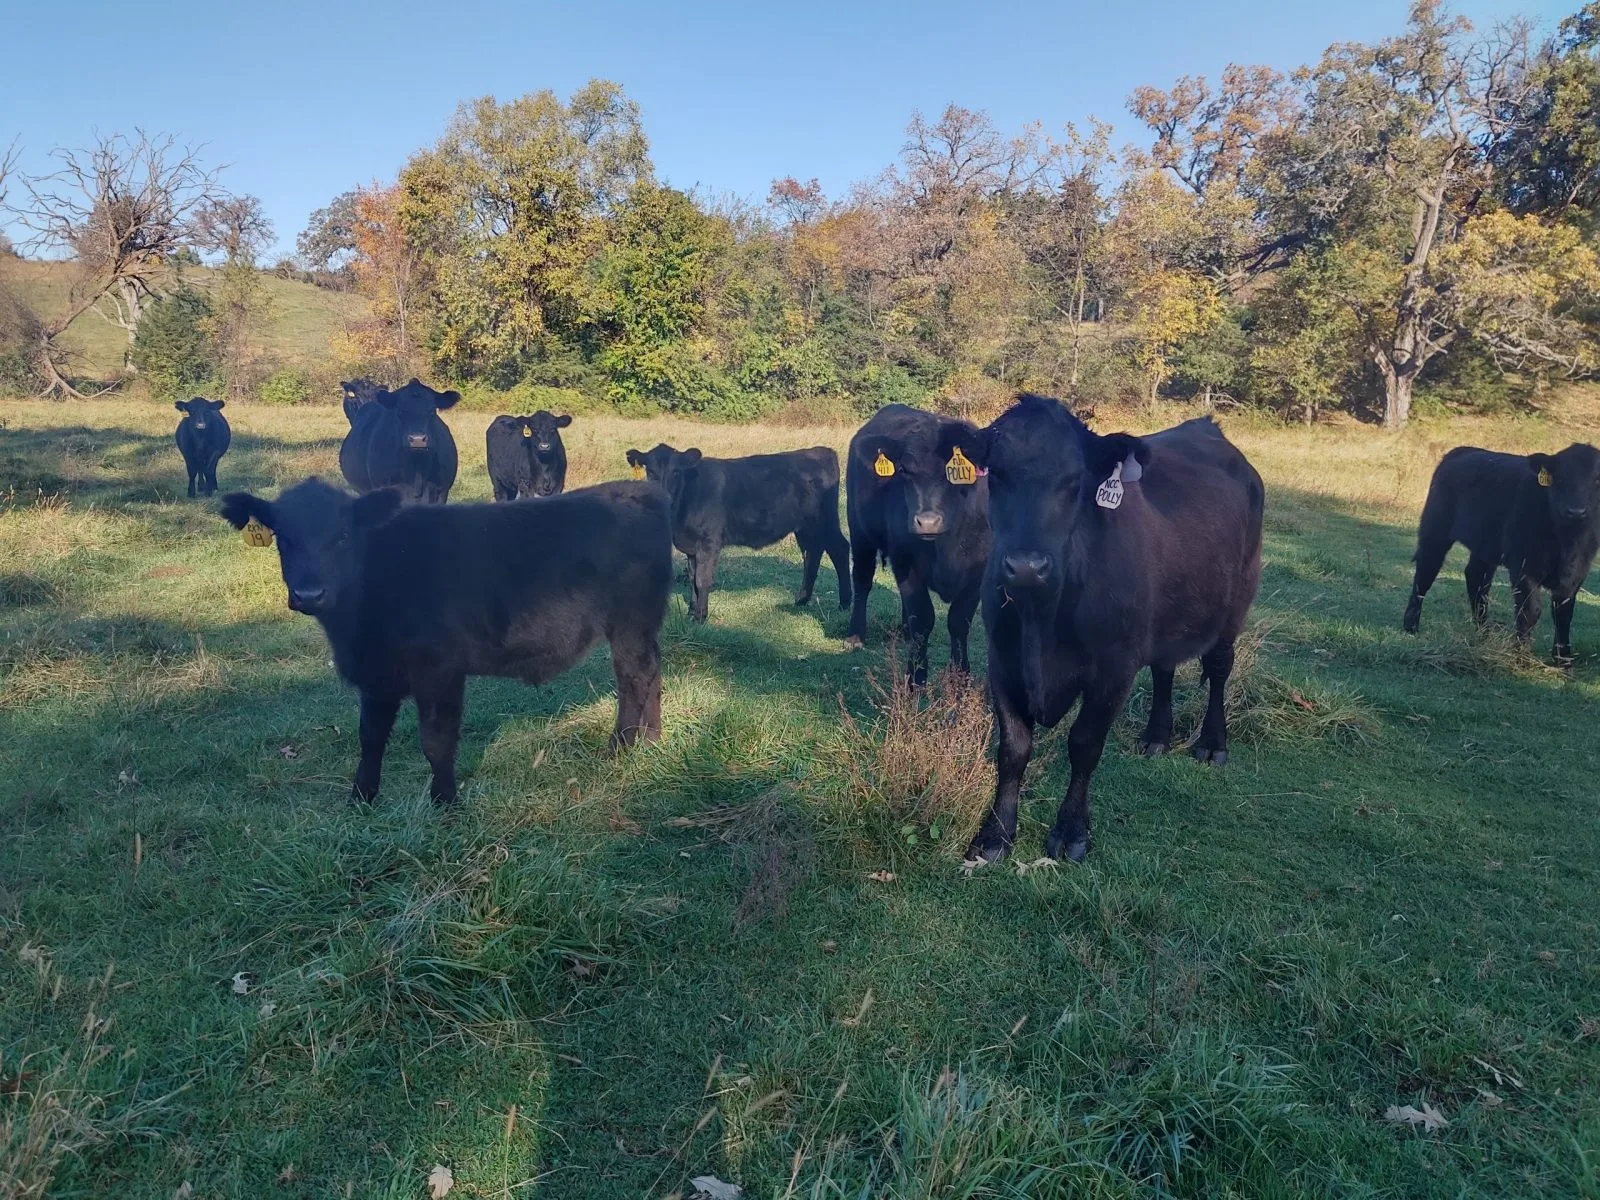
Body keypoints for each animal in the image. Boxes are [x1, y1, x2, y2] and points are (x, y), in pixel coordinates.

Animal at [218, 478, 672, 807]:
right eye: (283, 537)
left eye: (344, 536)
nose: (309, 594)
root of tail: (639, 490)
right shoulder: (376, 675)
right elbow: (370, 736)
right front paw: (361, 799)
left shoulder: (439, 670)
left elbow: (436, 741)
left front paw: (444, 803)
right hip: (644, 626)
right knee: (652, 672)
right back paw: (651, 740)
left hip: (629, 622)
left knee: (633, 677)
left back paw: (619, 748)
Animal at [624, 443, 851, 622]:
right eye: (650, 471)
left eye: (676, 472)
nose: (663, 496)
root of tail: (821, 450)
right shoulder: (691, 546)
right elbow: (692, 578)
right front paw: (691, 612)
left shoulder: (709, 541)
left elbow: (702, 579)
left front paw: (700, 617)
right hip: (805, 526)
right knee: (812, 553)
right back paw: (801, 600)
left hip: (825, 520)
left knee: (839, 548)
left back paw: (844, 603)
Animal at [844, 404, 990, 684]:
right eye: (904, 471)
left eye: (951, 472)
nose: (927, 522)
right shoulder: (905, 560)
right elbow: (922, 619)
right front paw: (915, 677)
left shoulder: (979, 570)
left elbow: (959, 621)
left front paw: (960, 677)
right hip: (860, 533)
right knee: (862, 580)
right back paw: (855, 635)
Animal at [958, 394, 1264, 865]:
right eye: (998, 476)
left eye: (1074, 481)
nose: (1026, 567)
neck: (1042, 622)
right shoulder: (1002, 661)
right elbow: (1013, 748)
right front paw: (995, 834)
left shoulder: (1113, 669)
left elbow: (1084, 745)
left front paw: (1071, 831)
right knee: (1164, 668)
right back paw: (1156, 737)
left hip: (1235, 604)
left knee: (1218, 668)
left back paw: (1212, 743)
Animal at [1403, 442, 1600, 664]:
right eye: (1559, 478)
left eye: (1597, 480)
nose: (1576, 511)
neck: (1567, 542)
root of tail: (1463, 450)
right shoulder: (1523, 565)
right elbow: (1530, 610)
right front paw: (1522, 656)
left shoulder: (1577, 572)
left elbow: (1564, 612)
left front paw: (1563, 659)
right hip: (1435, 528)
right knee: (1426, 570)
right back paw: (1411, 625)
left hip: (1485, 546)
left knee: (1476, 578)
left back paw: (1484, 632)